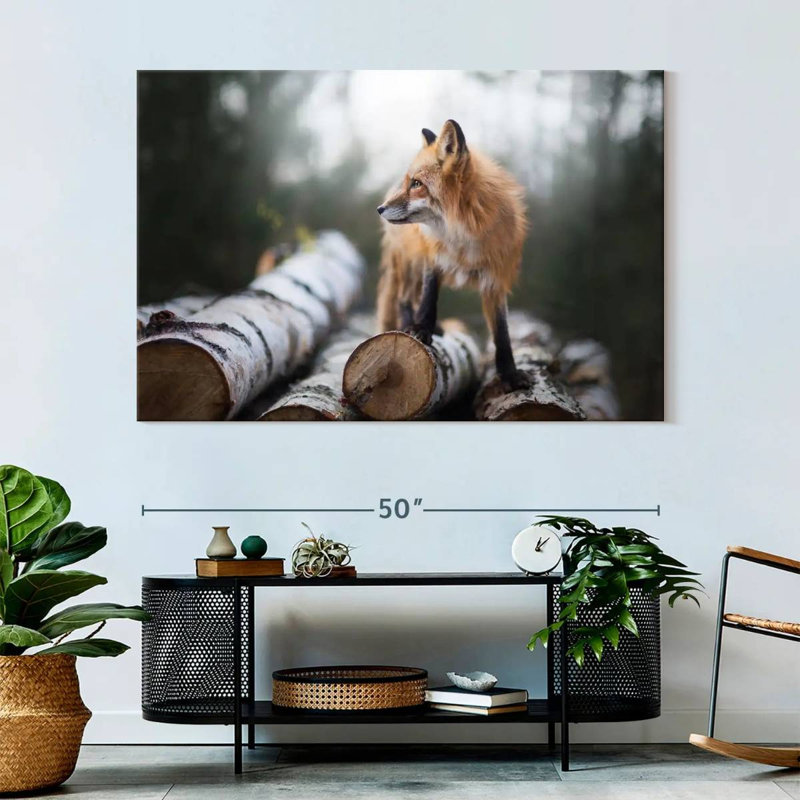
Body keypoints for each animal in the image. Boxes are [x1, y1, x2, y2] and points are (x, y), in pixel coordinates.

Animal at [376, 119, 528, 389]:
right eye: (408, 182)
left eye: (417, 184)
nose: (379, 209)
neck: (462, 236)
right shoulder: (433, 259)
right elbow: (428, 299)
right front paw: (421, 329)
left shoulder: (495, 280)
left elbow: (502, 332)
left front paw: (509, 374)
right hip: (410, 263)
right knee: (404, 298)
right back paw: (408, 326)